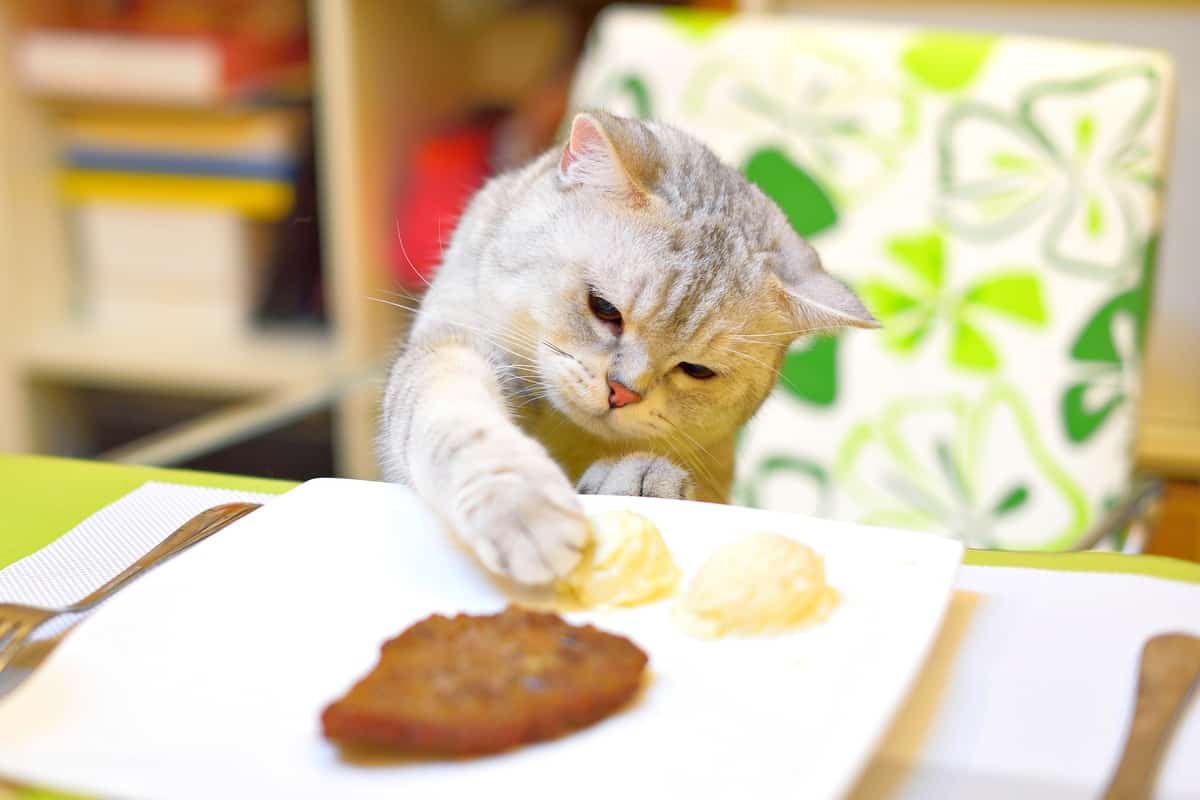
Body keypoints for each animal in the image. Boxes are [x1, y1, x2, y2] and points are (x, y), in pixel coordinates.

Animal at [379, 110, 878, 582]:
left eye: (697, 370)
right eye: (604, 309)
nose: (621, 392)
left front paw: (634, 480)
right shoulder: (451, 344)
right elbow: (461, 420)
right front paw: (520, 506)